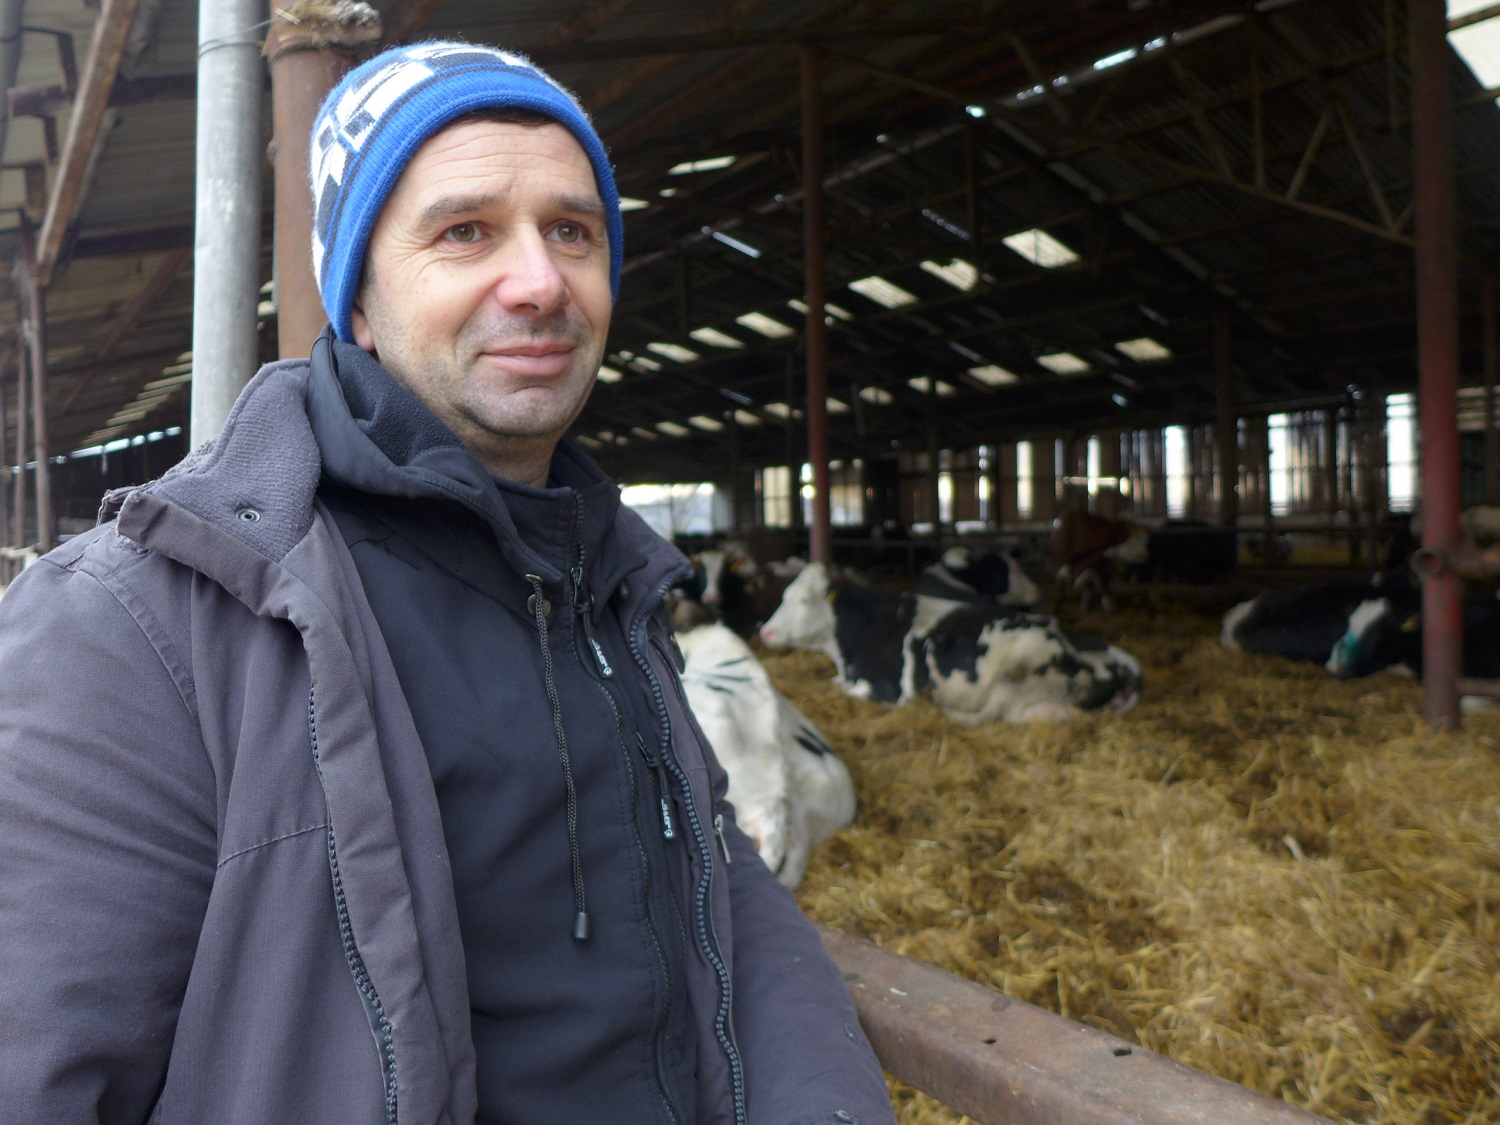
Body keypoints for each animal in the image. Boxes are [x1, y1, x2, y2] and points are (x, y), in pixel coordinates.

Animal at [756, 564, 1140, 732]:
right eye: (784, 594)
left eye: (803, 600)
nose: (766, 631)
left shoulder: (888, 689)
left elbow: (849, 691)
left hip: (1018, 665)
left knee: (995, 713)